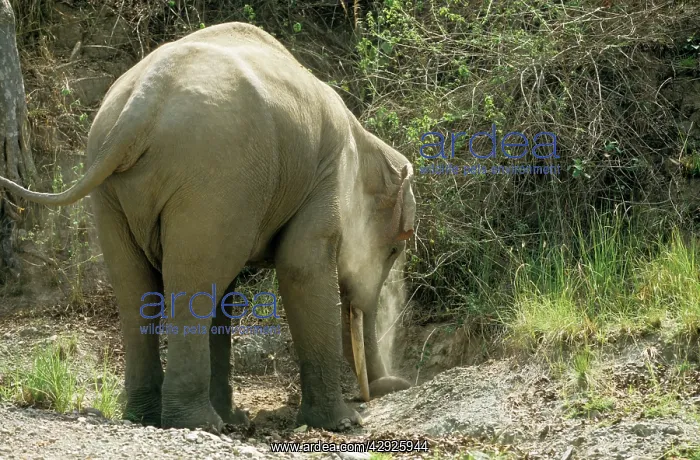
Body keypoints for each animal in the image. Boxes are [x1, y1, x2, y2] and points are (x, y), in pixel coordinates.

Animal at [0, 21, 415, 432]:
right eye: (396, 247)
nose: (389, 386)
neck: (364, 139)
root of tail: (142, 103)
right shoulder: (327, 178)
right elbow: (300, 266)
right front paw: (343, 424)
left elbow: (227, 291)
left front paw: (238, 418)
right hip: (214, 175)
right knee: (193, 281)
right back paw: (198, 423)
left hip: (118, 191)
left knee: (141, 283)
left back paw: (149, 416)